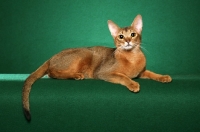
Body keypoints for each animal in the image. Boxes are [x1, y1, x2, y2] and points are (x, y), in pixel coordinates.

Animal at [21, 14, 172, 121]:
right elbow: (122, 77)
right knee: (51, 73)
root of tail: (52, 56)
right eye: (121, 36)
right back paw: (76, 75)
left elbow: (152, 73)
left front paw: (163, 77)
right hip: (85, 53)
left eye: (133, 34)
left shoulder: (141, 73)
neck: (132, 58)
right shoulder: (104, 73)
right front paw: (133, 84)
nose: (128, 41)